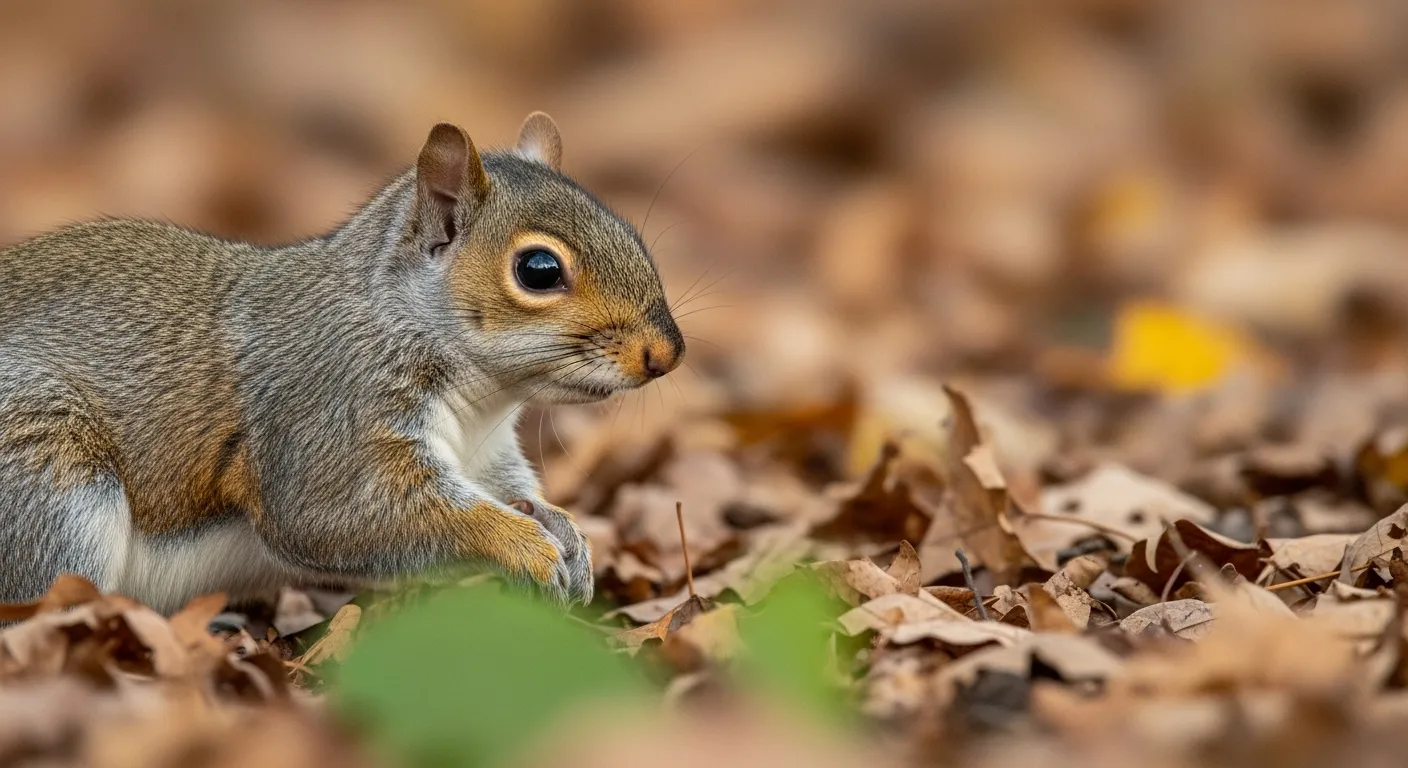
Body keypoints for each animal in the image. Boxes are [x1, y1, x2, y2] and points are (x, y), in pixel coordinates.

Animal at [0, 112, 683, 612]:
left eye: (628, 230)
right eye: (538, 269)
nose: (667, 353)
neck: (481, 401)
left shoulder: (485, 456)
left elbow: (513, 492)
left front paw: (568, 536)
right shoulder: (329, 409)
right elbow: (347, 511)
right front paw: (522, 546)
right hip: (47, 483)